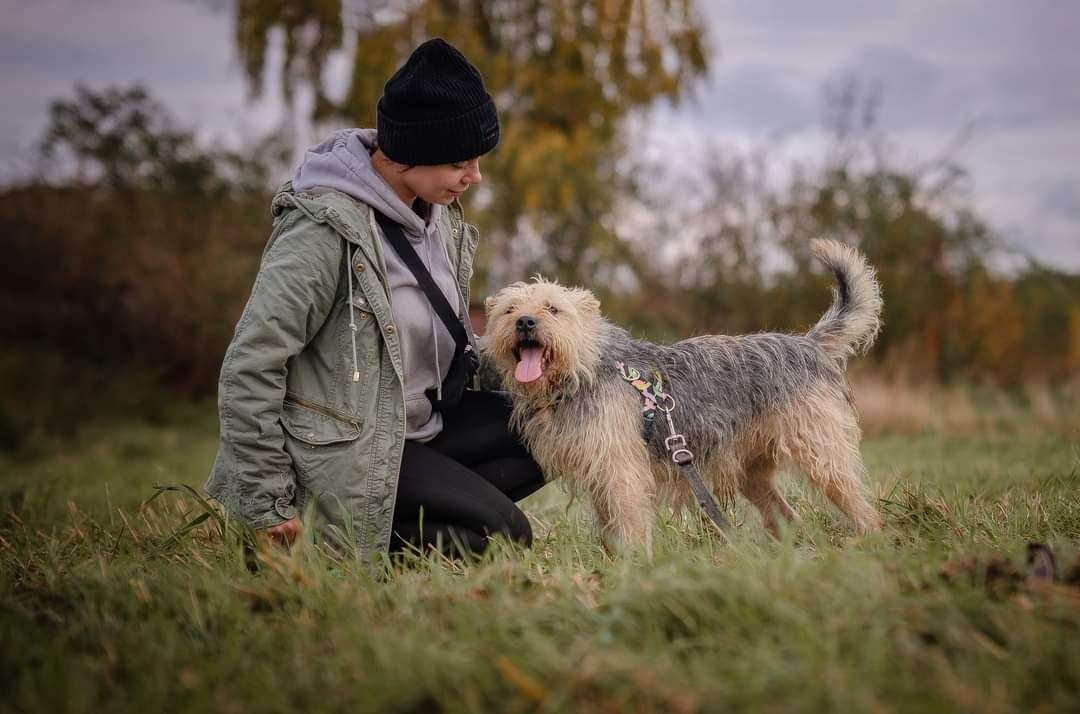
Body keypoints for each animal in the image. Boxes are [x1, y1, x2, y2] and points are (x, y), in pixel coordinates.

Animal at [488, 239, 885, 550]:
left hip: (824, 457)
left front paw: (633, 568)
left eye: (552, 308)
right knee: (787, 518)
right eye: (510, 309)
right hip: (752, 471)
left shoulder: (621, 472)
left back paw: (868, 541)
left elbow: (629, 524)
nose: (525, 322)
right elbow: (610, 528)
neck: (582, 370)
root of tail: (808, 344)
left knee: (863, 508)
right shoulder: (600, 471)